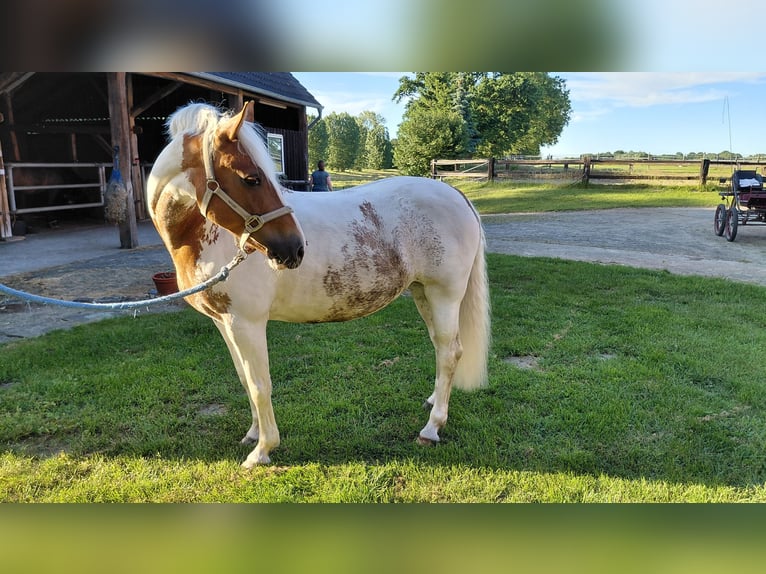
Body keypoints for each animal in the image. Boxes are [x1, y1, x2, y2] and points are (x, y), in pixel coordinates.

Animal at [147, 101, 490, 468]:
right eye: (252, 178)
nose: (295, 248)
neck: (206, 236)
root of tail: (456, 194)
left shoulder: (247, 322)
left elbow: (259, 384)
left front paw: (262, 450)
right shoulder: (223, 322)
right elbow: (244, 378)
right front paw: (253, 434)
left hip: (445, 295)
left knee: (450, 352)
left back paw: (431, 428)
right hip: (423, 293)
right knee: (440, 347)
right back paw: (432, 403)